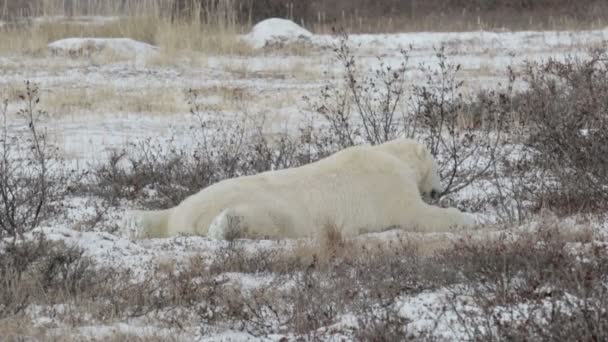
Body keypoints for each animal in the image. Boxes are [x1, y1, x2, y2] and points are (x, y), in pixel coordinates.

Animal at [132, 138, 476, 239]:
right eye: (438, 167)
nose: (438, 190)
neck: (390, 155)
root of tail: (185, 216)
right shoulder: (389, 186)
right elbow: (416, 215)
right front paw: (466, 217)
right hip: (278, 212)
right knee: (260, 219)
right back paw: (224, 225)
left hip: (191, 200)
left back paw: (137, 221)